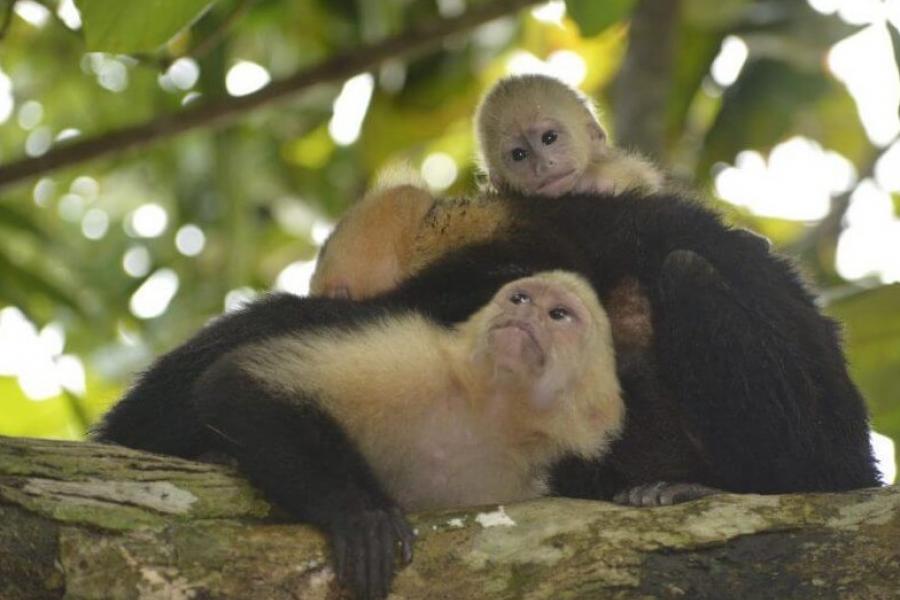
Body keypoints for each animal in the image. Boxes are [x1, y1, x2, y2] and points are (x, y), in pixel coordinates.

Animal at [95, 270, 624, 600]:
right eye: (519, 297)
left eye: (559, 315)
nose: (524, 311)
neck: (486, 411)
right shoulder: (415, 353)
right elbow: (237, 383)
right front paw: (361, 512)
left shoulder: (518, 482)